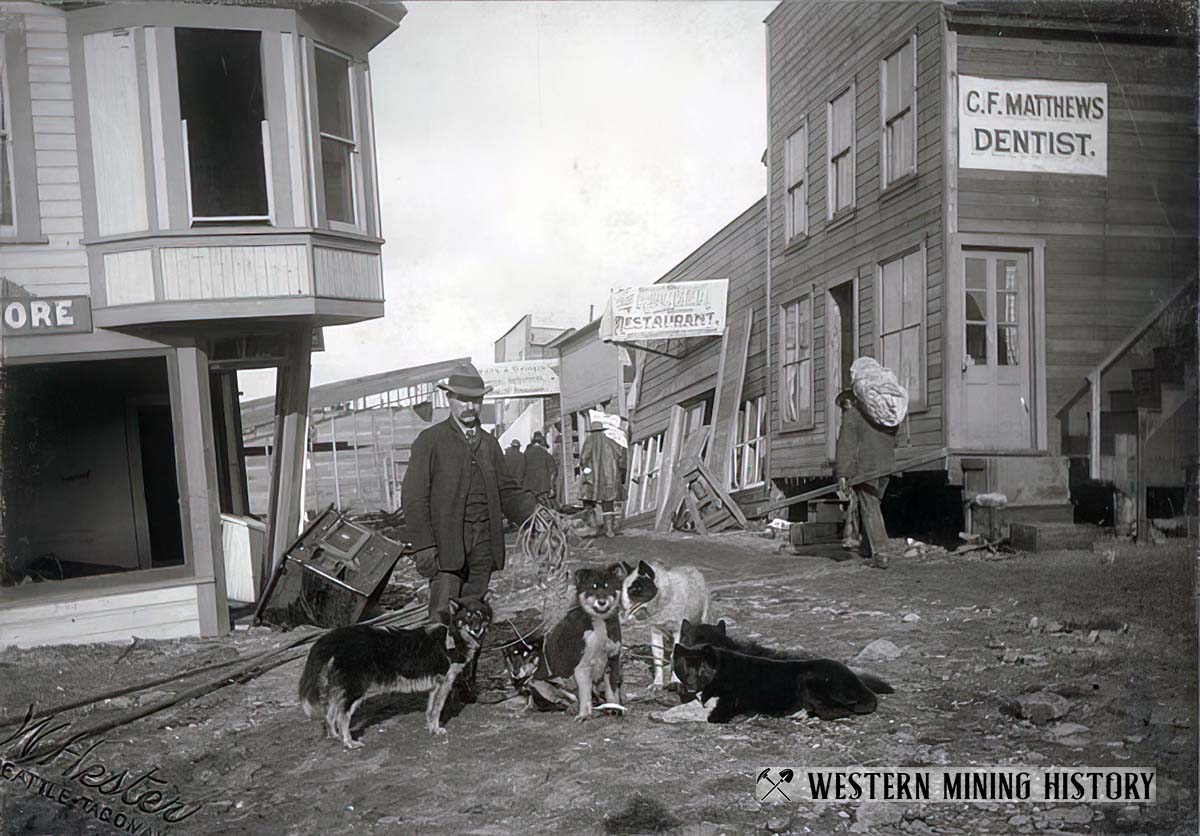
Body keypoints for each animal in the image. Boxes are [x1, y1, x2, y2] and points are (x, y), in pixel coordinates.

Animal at [300, 597, 492, 748]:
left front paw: (431, 728)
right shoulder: (445, 682)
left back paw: (334, 736)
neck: (454, 637)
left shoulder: (435, 685)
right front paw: (437, 729)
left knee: (330, 713)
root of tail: (336, 637)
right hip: (356, 689)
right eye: (467, 617)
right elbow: (437, 709)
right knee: (342, 716)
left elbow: (430, 710)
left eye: (480, 615)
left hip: (343, 688)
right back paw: (348, 742)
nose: (476, 630)